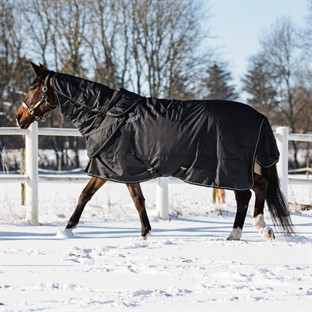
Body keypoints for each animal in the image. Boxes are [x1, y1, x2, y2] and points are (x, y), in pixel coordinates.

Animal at [15, 62, 294, 240]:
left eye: (32, 87)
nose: (19, 118)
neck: (108, 115)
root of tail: (259, 116)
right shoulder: (115, 169)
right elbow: (118, 198)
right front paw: (145, 233)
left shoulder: (118, 168)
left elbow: (101, 197)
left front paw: (66, 230)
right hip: (233, 169)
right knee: (255, 190)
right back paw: (250, 232)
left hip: (228, 168)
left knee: (247, 193)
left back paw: (246, 232)